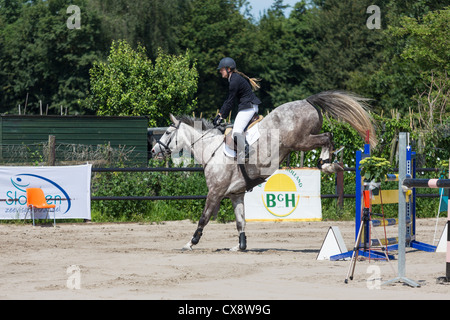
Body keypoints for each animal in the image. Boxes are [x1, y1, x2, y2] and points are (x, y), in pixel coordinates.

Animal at [150, 90, 376, 250]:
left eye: (168, 133)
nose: (153, 151)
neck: (210, 150)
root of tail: (306, 101)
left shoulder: (215, 192)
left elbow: (204, 218)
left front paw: (190, 242)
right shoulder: (235, 194)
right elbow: (240, 221)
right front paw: (240, 246)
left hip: (300, 141)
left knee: (327, 136)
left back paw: (327, 163)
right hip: (302, 141)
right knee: (328, 137)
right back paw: (328, 163)